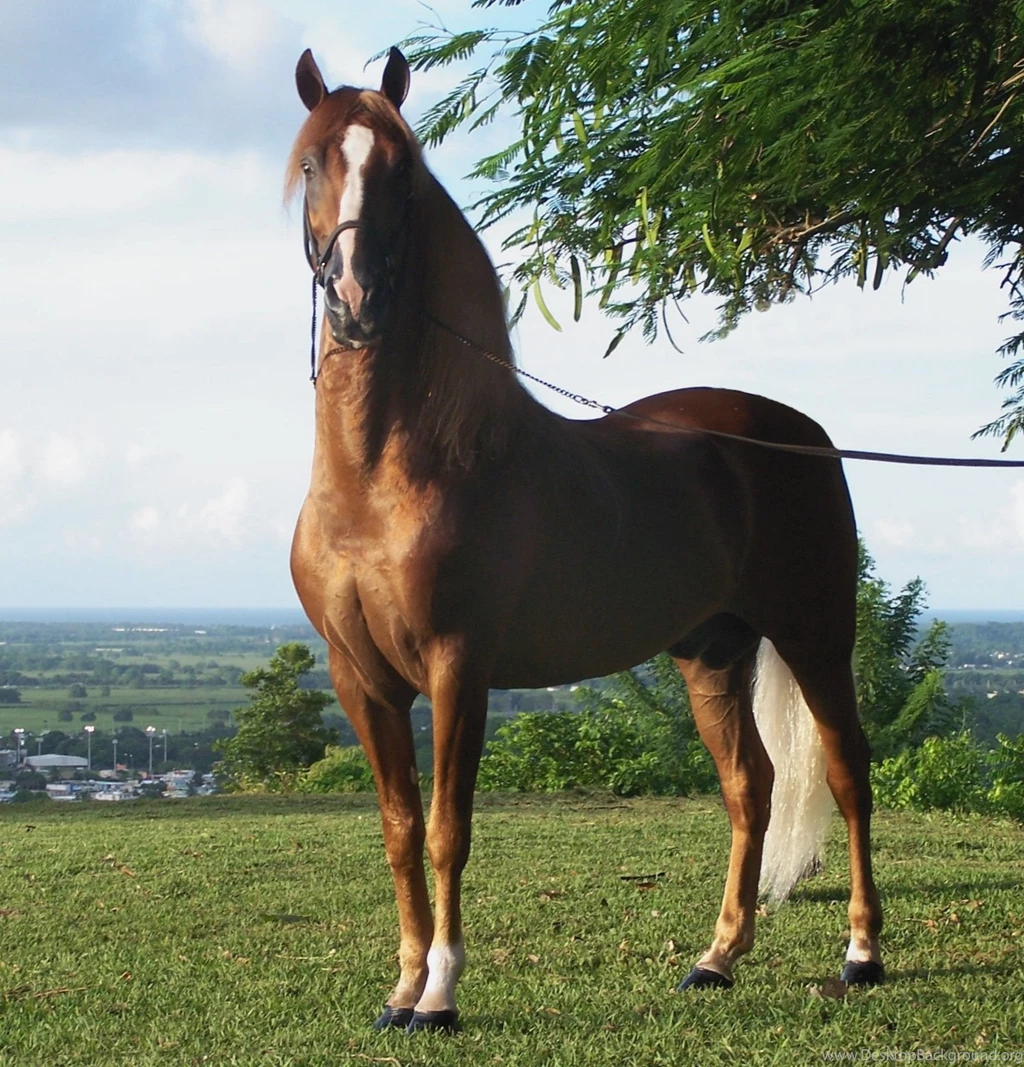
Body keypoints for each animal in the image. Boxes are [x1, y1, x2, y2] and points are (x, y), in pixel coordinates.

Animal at [286, 46, 884, 1033]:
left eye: (402, 171)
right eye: (311, 165)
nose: (357, 299)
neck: (387, 476)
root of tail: (798, 432)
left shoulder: (458, 666)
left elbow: (448, 828)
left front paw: (440, 994)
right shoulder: (359, 675)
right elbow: (400, 828)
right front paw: (401, 987)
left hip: (815, 636)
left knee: (846, 773)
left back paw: (864, 953)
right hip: (712, 653)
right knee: (749, 786)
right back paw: (716, 958)